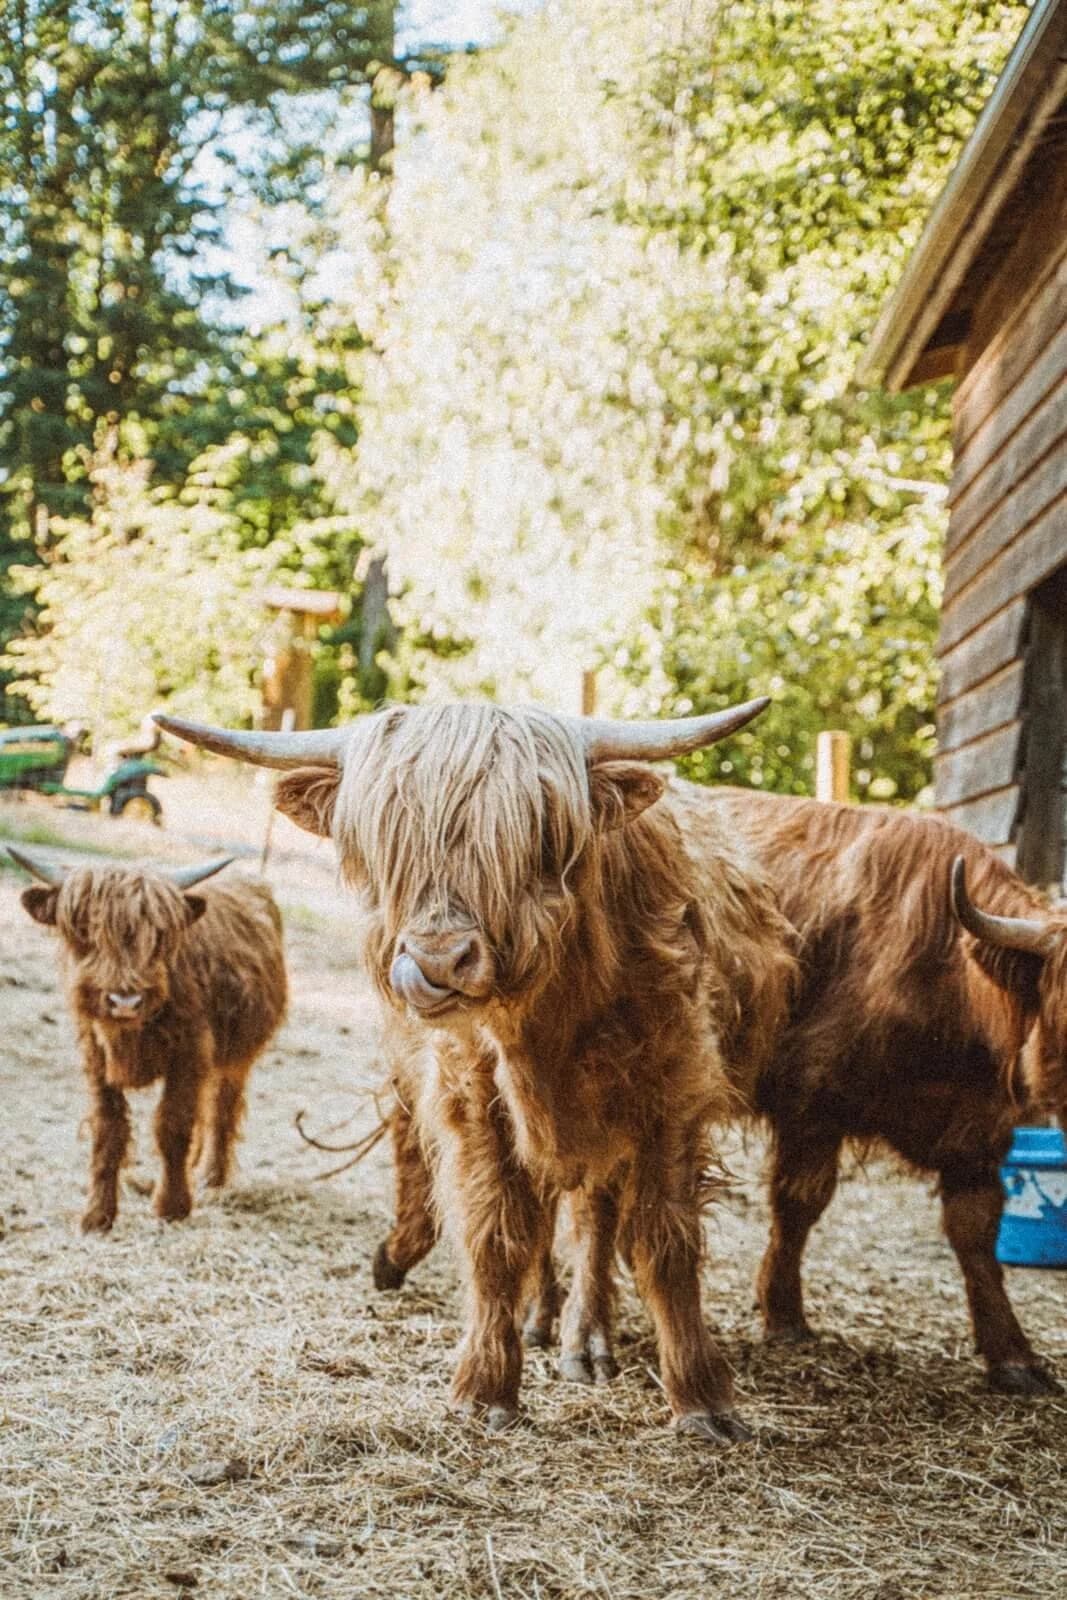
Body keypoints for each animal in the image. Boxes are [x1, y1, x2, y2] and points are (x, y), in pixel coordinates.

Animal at [10, 849, 287, 1232]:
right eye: (85, 931)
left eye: (157, 935)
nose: (125, 1000)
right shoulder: (96, 1057)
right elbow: (108, 1129)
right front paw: (97, 1215)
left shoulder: (190, 1053)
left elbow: (172, 1125)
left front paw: (172, 1206)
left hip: (238, 1055)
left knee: (222, 1107)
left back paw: (211, 1177)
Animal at [154, 700, 796, 1440]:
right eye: (380, 841)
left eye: (540, 833)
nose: (438, 961)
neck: (550, 1017)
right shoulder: (474, 1101)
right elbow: (497, 1234)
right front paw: (486, 1384)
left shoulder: (673, 1094)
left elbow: (664, 1243)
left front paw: (701, 1398)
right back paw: (542, 1320)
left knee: (595, 1220)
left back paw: (585, 1339)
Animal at [376, 791, 1067, 1398]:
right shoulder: (814, 1101)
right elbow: (799, 1205)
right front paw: (784, 1316)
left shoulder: (978, 1131)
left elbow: (976, 1233)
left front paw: (1014, 1357)